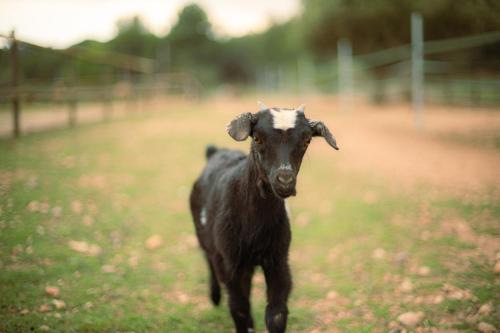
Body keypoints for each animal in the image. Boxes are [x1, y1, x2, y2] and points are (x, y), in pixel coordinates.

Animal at [189, 102, 338, 330]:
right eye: (257, 138)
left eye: (307, 140)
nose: (285, 181)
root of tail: (215, 152)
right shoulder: (231, 263)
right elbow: (240, 310)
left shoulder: (278, 259)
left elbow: (276, 314)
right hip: (205, 238)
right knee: (209, 260)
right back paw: (214, 297)